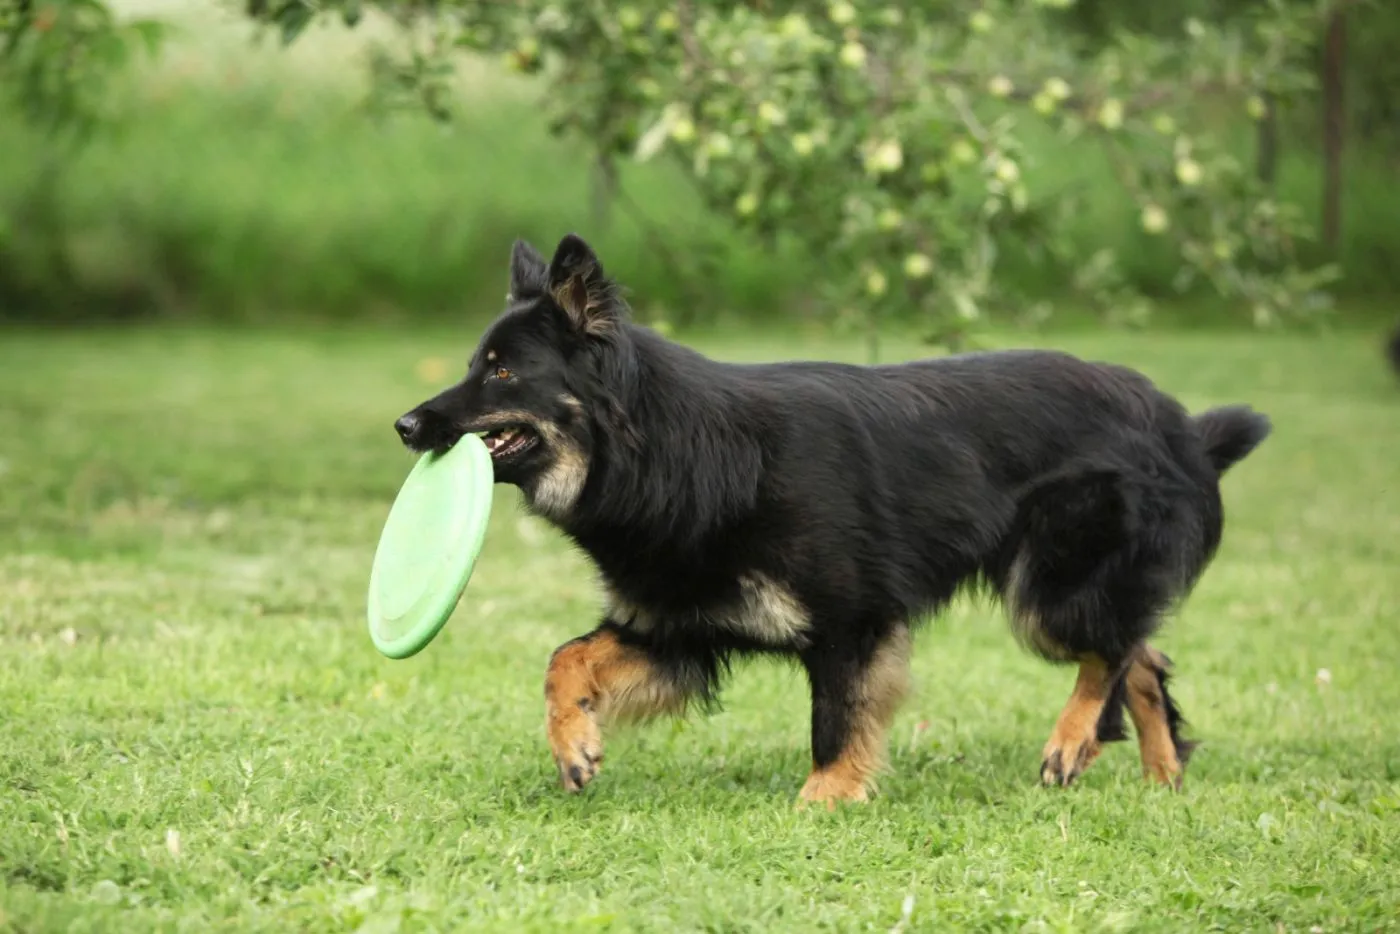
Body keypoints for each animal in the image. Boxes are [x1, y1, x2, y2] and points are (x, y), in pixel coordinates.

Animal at [392, 232, 1271, 806]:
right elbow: (563, 658)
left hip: (1048, 592)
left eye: (502, 373)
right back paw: (1159, 778)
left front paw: (825, 799)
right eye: (473, 365)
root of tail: (1180, 424)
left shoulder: (853, 625)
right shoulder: (678, 629)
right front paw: (574, 744)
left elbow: (836, 723)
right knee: (1144, 652)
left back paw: (1071, 740)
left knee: (1114, 649)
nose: (405, 425)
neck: (682, 454)